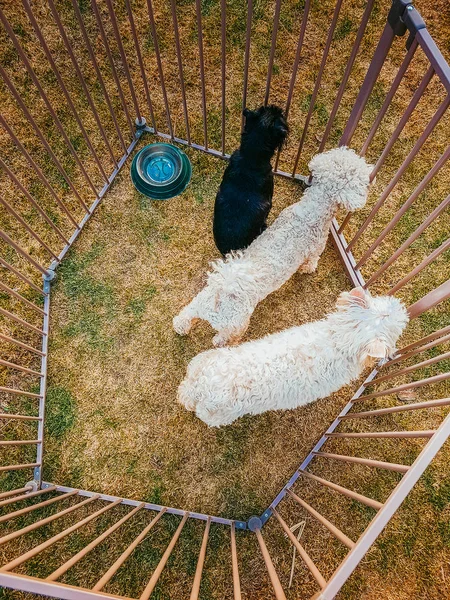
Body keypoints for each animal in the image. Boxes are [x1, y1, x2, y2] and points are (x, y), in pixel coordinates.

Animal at [174, 146, 374, 346]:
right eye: (359, 175)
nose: (371, 171)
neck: (312, 210)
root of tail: (221, 297)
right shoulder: (315, 249)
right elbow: (311, 262)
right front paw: (307, 270)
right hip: (235, 327)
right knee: (223, 339)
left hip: (199, 302)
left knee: (186, 315)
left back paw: (180, 327)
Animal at [178, 288, 410, 428]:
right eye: (397, 326)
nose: (403, 308)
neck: (339, 340)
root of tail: (200, 388)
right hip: (220, 415)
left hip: (201, 361)